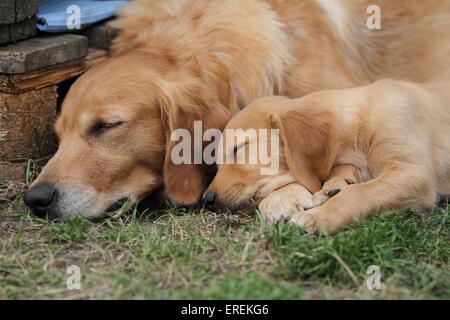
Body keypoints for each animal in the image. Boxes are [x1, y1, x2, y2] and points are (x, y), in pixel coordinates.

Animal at [207, 80, 450, 232]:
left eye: (238, 148)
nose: (206, 199)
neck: (358, 122)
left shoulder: (413, 172)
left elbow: (359, 193)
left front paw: (320, 216)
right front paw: (337, 183)